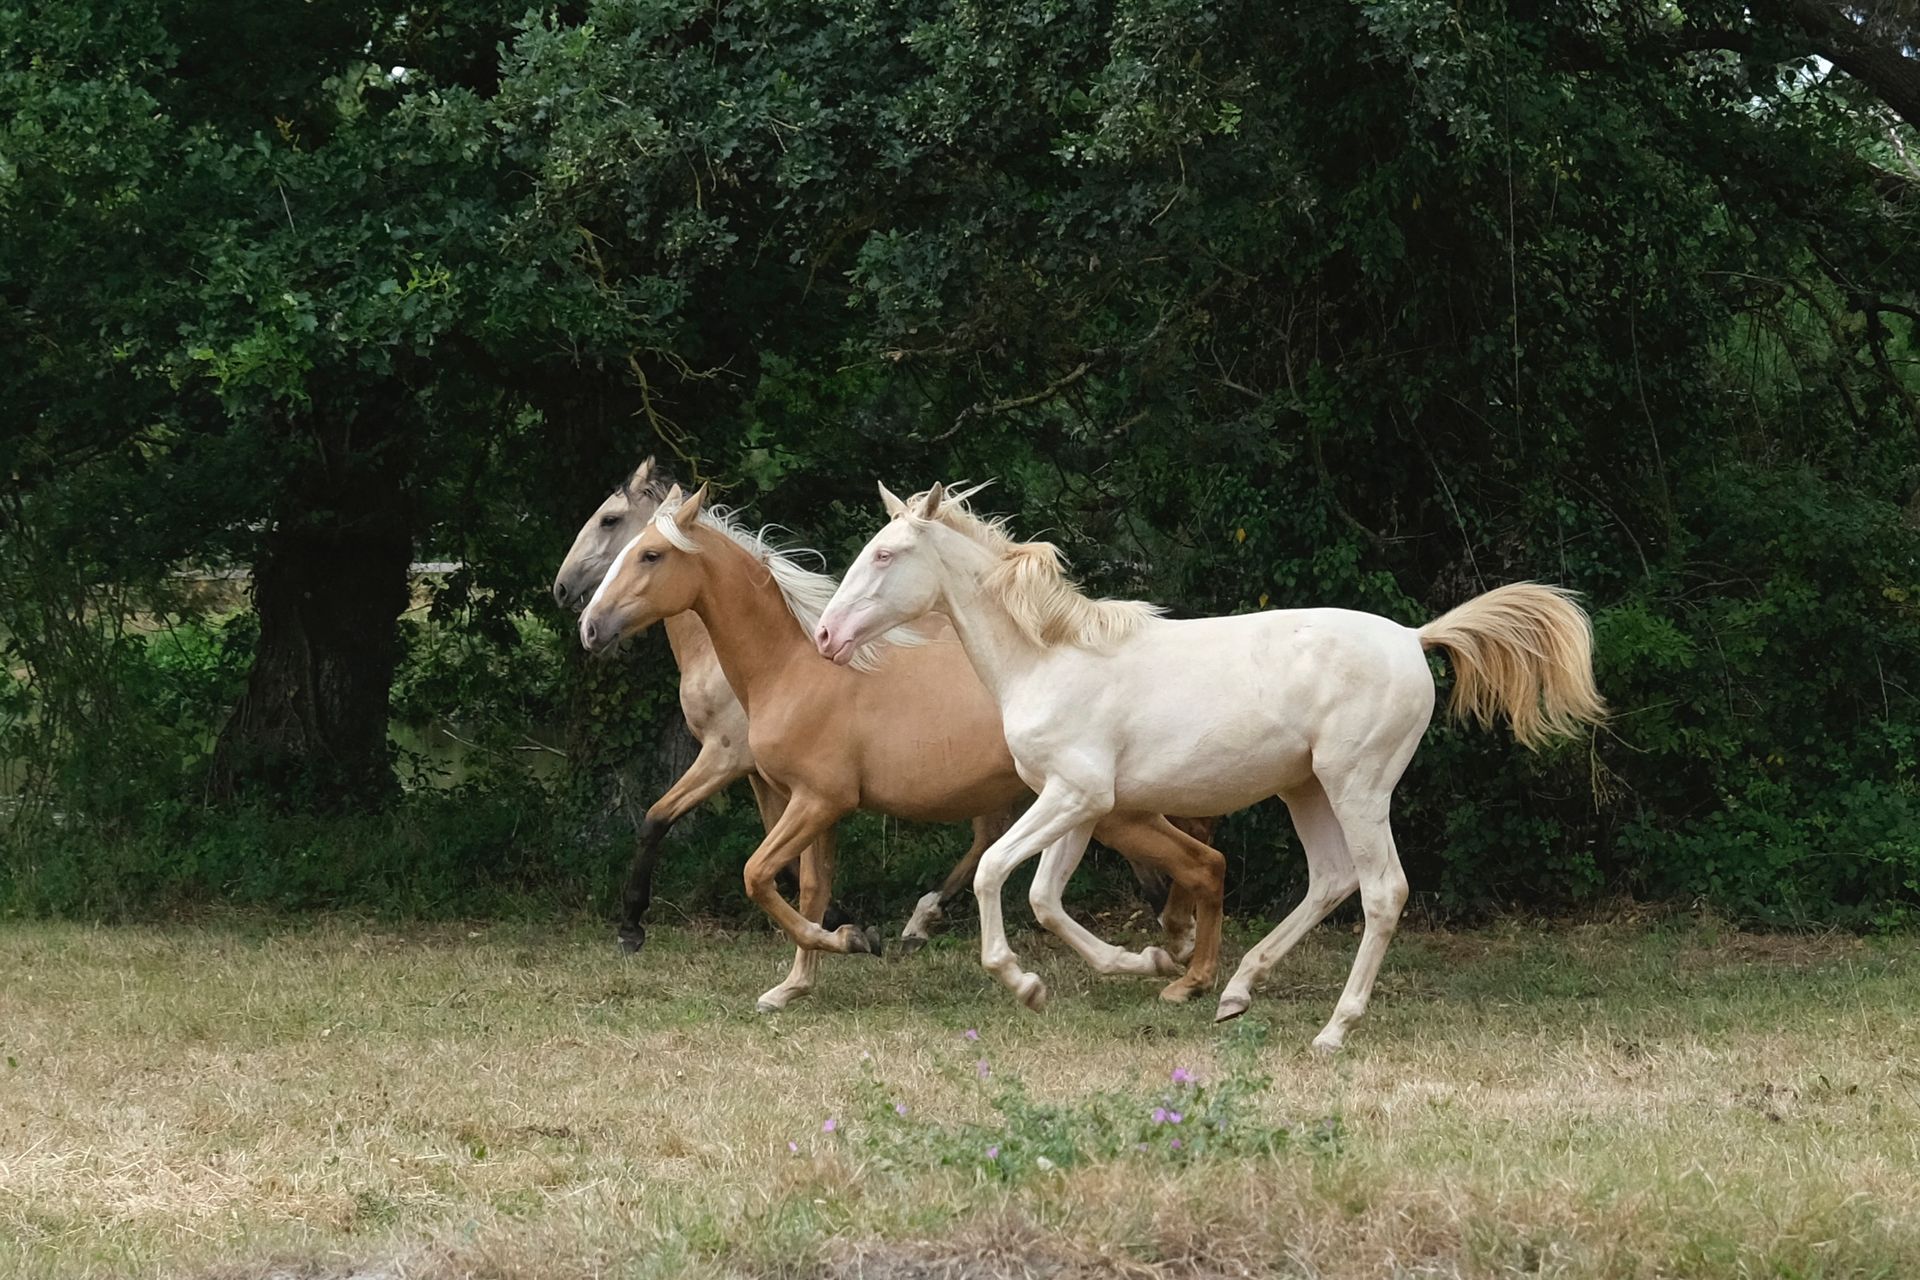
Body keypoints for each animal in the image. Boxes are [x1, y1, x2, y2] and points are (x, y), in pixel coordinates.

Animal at [577, 482, 1229, 1013]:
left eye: (649, 552)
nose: (588, 625)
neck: (791, 670)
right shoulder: (811, 804)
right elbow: (808, 887)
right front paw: (795, 984)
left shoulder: (816, 800)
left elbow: (759, 875)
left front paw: (851, 940)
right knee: (1191, 860)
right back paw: (1173, 953)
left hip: (1106, 808)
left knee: (1194, 857)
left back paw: (1176, 960)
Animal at [814, 482, 1606, 1051]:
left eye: (885, 554)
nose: (824, 635)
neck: (1049, 659)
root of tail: (1414, 637)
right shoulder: (1083, 804)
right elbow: (1044, 898)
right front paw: (1151, 964)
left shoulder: (1074, 795)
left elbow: (990, 874)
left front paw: (1023, 982)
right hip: (1305, 788)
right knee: (1331, 879)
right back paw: (1235, 992)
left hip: (1357, 785)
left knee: (1382, 890)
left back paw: (1334, 1029)